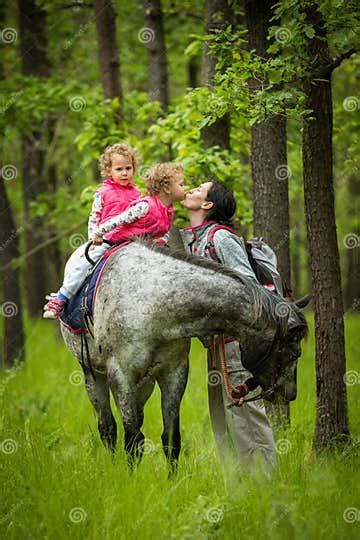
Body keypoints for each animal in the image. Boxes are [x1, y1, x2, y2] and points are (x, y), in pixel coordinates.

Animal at [61, 238, 306, 466]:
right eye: (294, 354)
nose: (291, 394)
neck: (152, 302)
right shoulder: (121, 376)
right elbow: (131, 440)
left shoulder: (174, 374)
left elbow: (171, 440)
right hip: (93, 375)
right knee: (108, 428)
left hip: (144, 384)